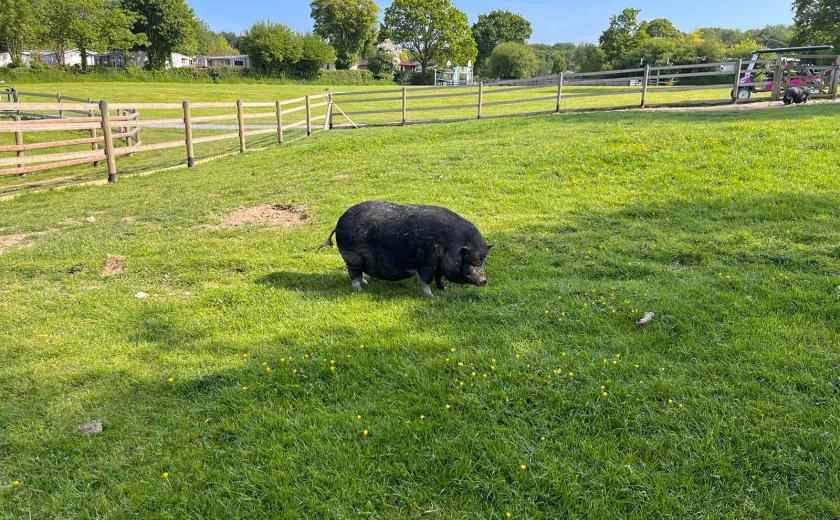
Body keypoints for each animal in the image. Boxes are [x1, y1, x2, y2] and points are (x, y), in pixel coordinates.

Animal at [322, 200, 492, 296]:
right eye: (469, 261)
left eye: (482, 261)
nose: (483, 280)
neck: (448, 246)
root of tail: (339, 223)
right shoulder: (426, 264)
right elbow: (426, 281)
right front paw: (431, 296)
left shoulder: (437, 266)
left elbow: (439, 277)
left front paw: (443, 289)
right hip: (352, 258)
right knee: (353, 274)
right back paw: (360, 290)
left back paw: (366, 283)